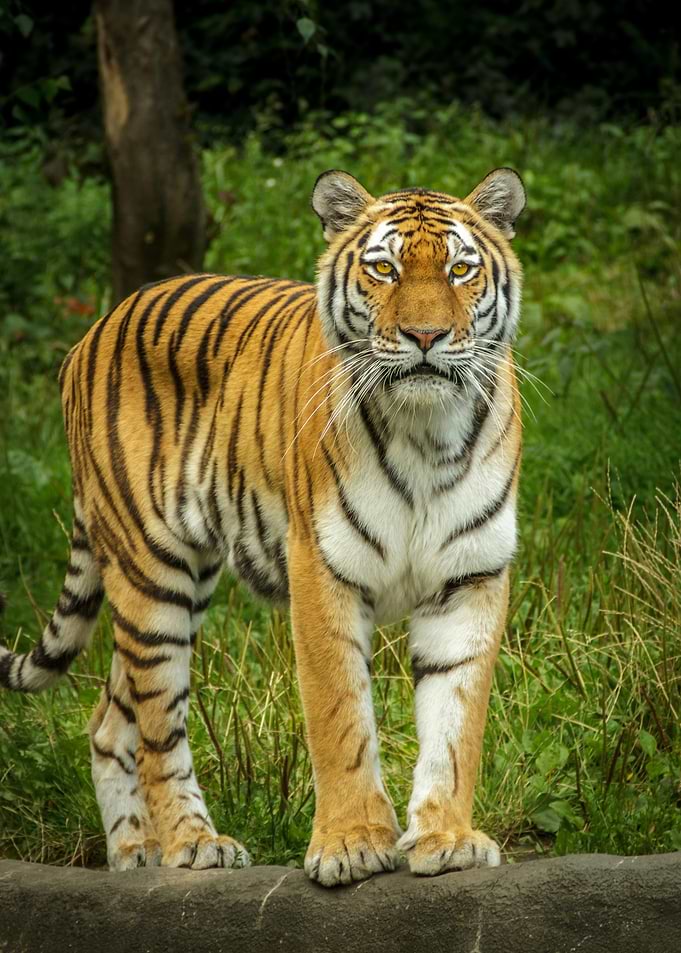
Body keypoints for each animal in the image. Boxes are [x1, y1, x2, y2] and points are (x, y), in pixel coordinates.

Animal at [0, 167, 525, 886]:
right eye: (383, 269)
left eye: (460, 269)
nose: (425, 337)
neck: (427, 432)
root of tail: (94, 328)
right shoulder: (322, 569)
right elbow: (339, 715)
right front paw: (351, 844)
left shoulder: (470, 577)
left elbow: (456, 722)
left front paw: (447, 838)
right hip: (151, 572)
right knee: (158, 724)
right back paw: (192, 844)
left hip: (178, 581)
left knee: (110, 720)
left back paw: (133, 853)